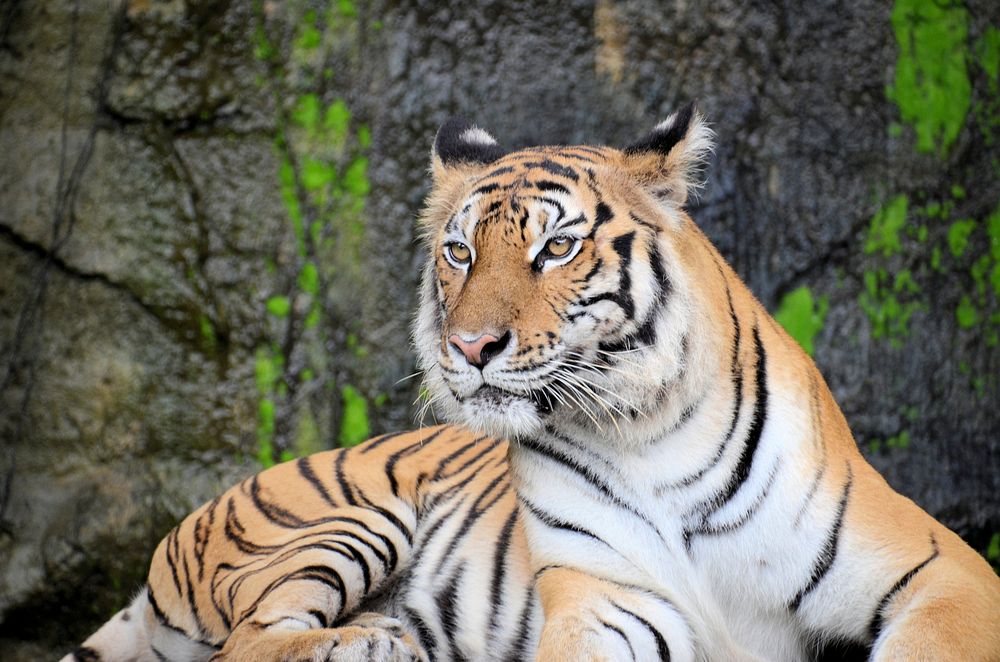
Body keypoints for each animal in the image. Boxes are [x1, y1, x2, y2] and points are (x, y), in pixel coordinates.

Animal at [64, 109, 1000, 662]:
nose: (470, 345)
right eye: (459, 251)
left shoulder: (943, 573)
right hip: (340, 521)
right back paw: (373, 643)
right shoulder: (608, 600)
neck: (647, 431)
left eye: (555, 248)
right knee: (250, 642)